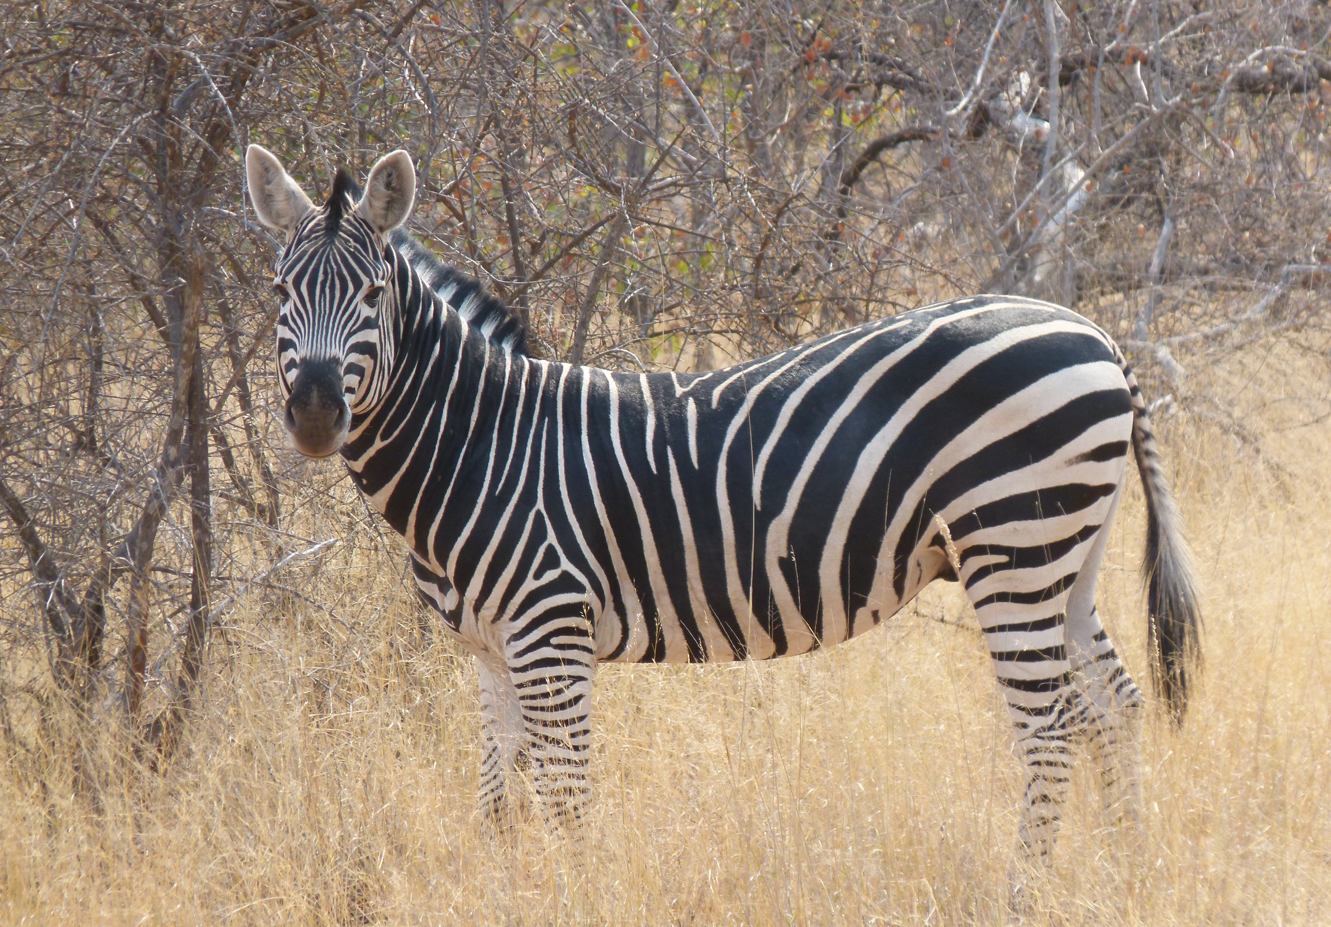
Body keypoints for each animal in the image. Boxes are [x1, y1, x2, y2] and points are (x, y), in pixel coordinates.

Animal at [245, 145, 1201, 866]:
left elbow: (566, 800)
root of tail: (1093, 334)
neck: (482, 446)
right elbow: (497, 804)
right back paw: (1124, 874)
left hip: (1011, 541)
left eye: (373, 294)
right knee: (1112, 708)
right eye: (279, 292)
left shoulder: (552, 634)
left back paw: (1025, 893)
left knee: (1047, 733)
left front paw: (575, 893)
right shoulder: (489, 652)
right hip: (1063, 552)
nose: (317, 412)